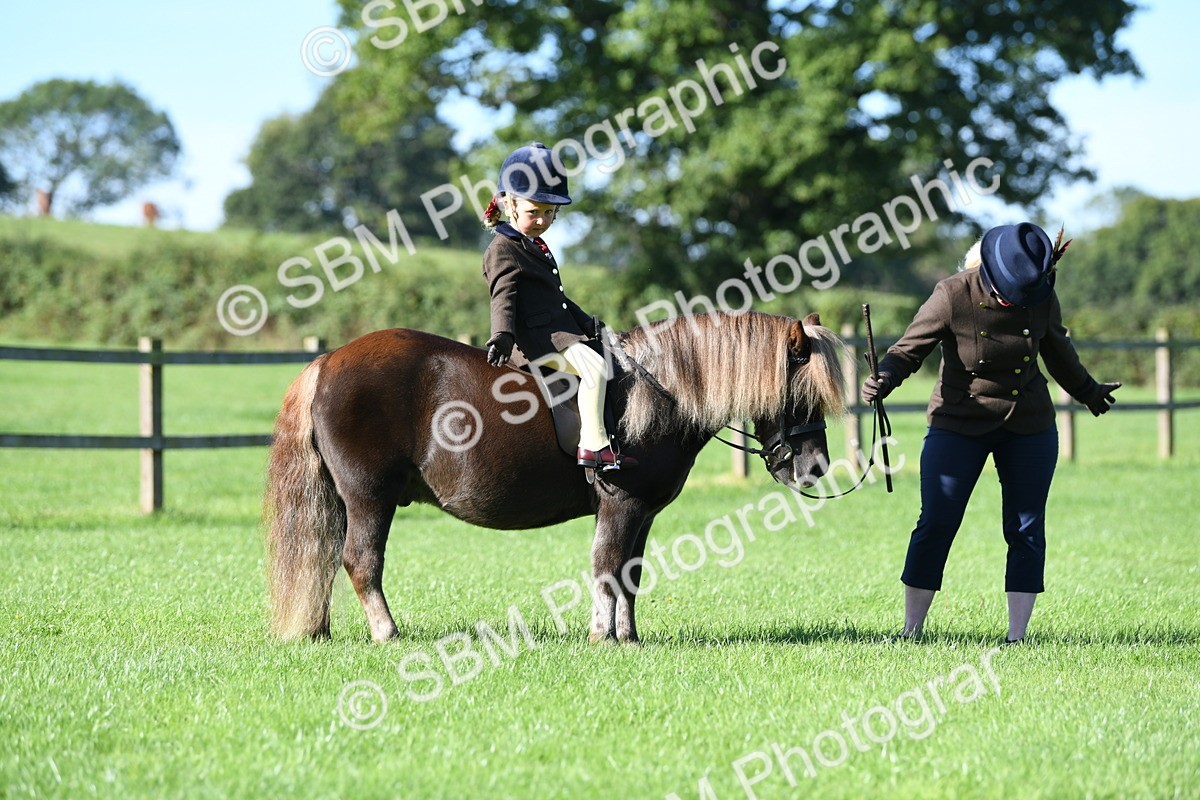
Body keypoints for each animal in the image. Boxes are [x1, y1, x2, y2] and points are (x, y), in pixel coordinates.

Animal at [263, 310, 847, 643]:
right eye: (802, 394)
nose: (815, 469)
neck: (659, 391)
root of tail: (329, 360)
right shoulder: (620, 504)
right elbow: (606, 565)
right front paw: (601, 636)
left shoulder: (644, 512)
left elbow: (630, 572)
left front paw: (629, 637)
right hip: (369, 497)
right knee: (361, 561)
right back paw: (387, 633)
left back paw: (321, 630)